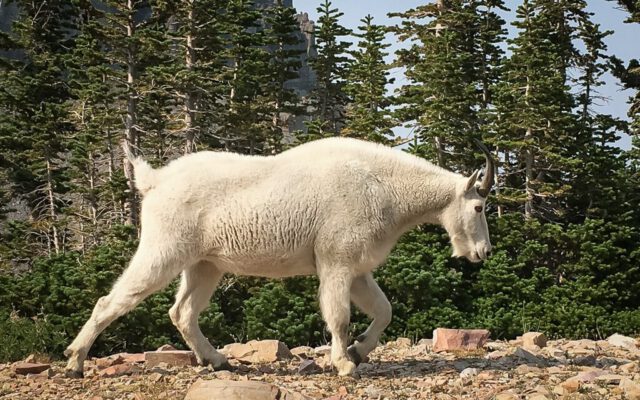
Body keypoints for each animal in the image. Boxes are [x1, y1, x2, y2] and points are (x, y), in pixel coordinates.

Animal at [64, 137, 494, 377]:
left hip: (204, 264)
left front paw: (358, 351)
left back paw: (217, 360)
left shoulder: (357, 268)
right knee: (111, 300)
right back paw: (74, 363)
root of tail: (154, 181)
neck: (385, 187)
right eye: (479, 208)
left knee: (182, 311)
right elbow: (339, 316)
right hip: (164, 248)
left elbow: (384, 310)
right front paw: (344, 364)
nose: (483, 252)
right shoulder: (336, 261)